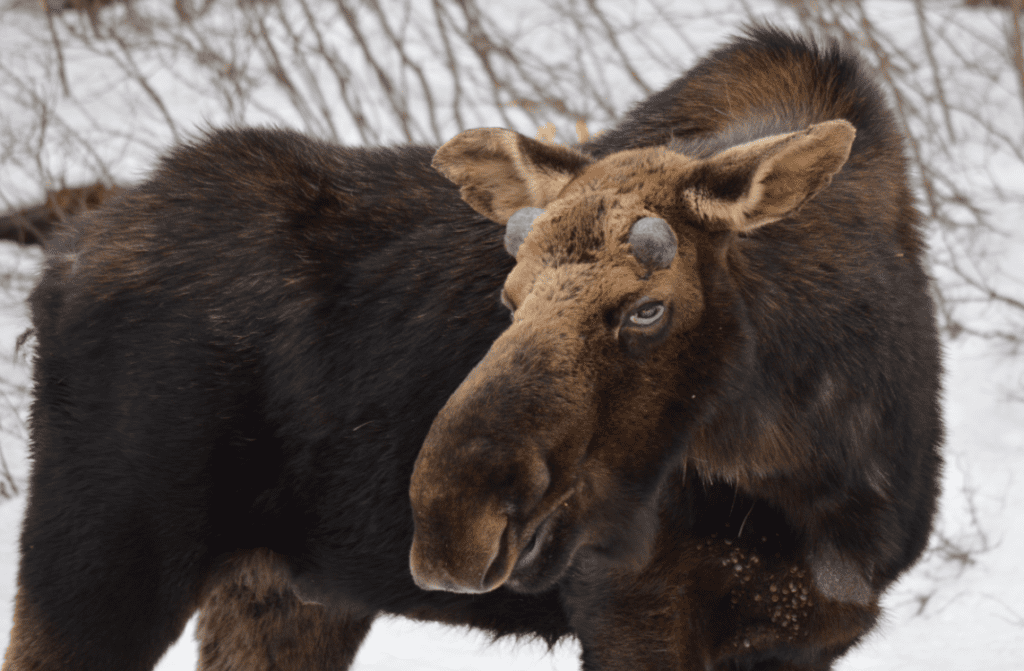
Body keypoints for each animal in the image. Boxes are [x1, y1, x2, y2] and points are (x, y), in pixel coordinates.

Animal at [4, 24, 937, 671]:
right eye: (508, 294)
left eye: (647, 309)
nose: (453, 517)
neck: (811, 467)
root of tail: (59, 265)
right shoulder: (631, 609)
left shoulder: (807, 635)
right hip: (92, 557)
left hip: (284, 588)